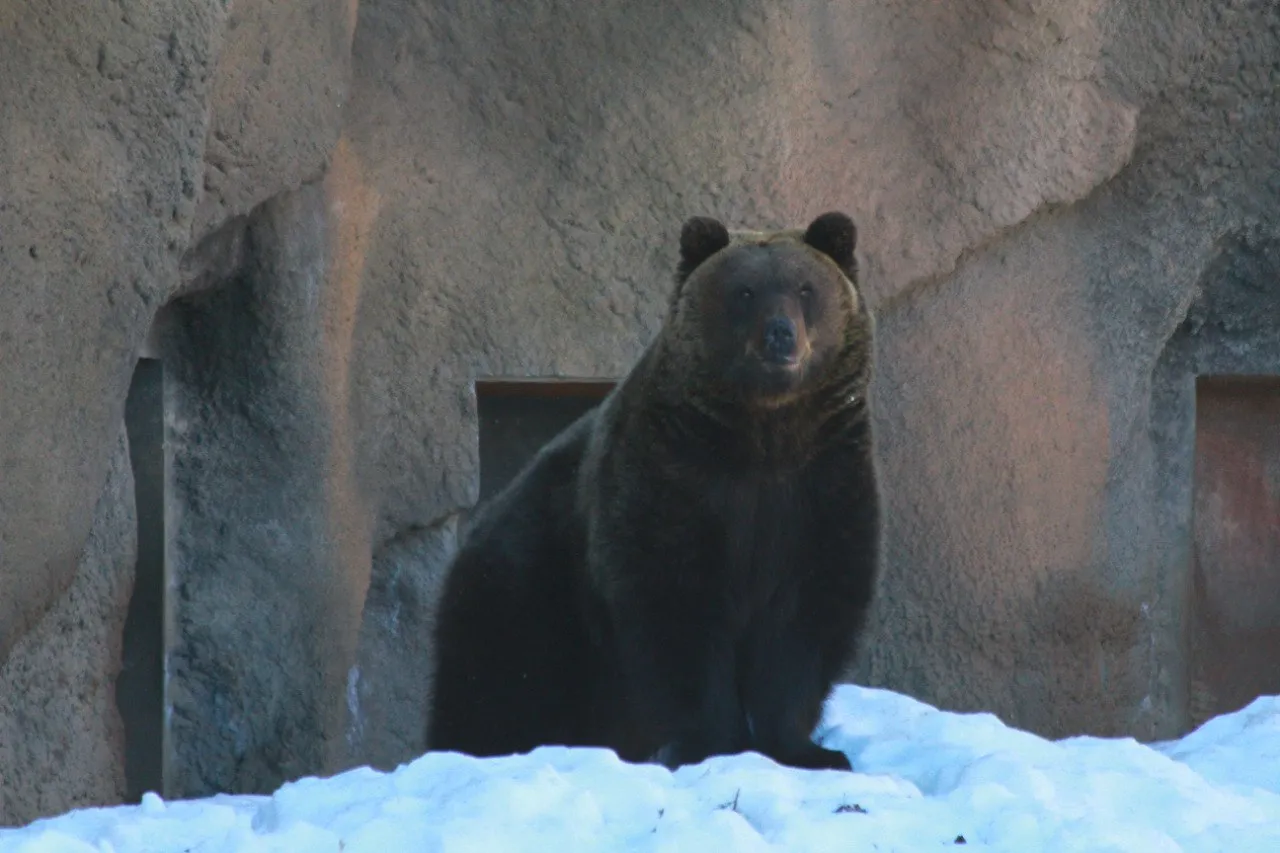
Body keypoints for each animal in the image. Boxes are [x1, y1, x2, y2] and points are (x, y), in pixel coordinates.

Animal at [427, 212, 880, 768]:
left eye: (805, 288)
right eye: (745, 291)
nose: (780, 335)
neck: (762, 436)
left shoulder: (823, 485)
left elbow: (806, 617)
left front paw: (809, 749)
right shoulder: (672, 477)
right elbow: (675, 606)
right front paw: (709, 742)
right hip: (529, 590)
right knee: (496, 685)